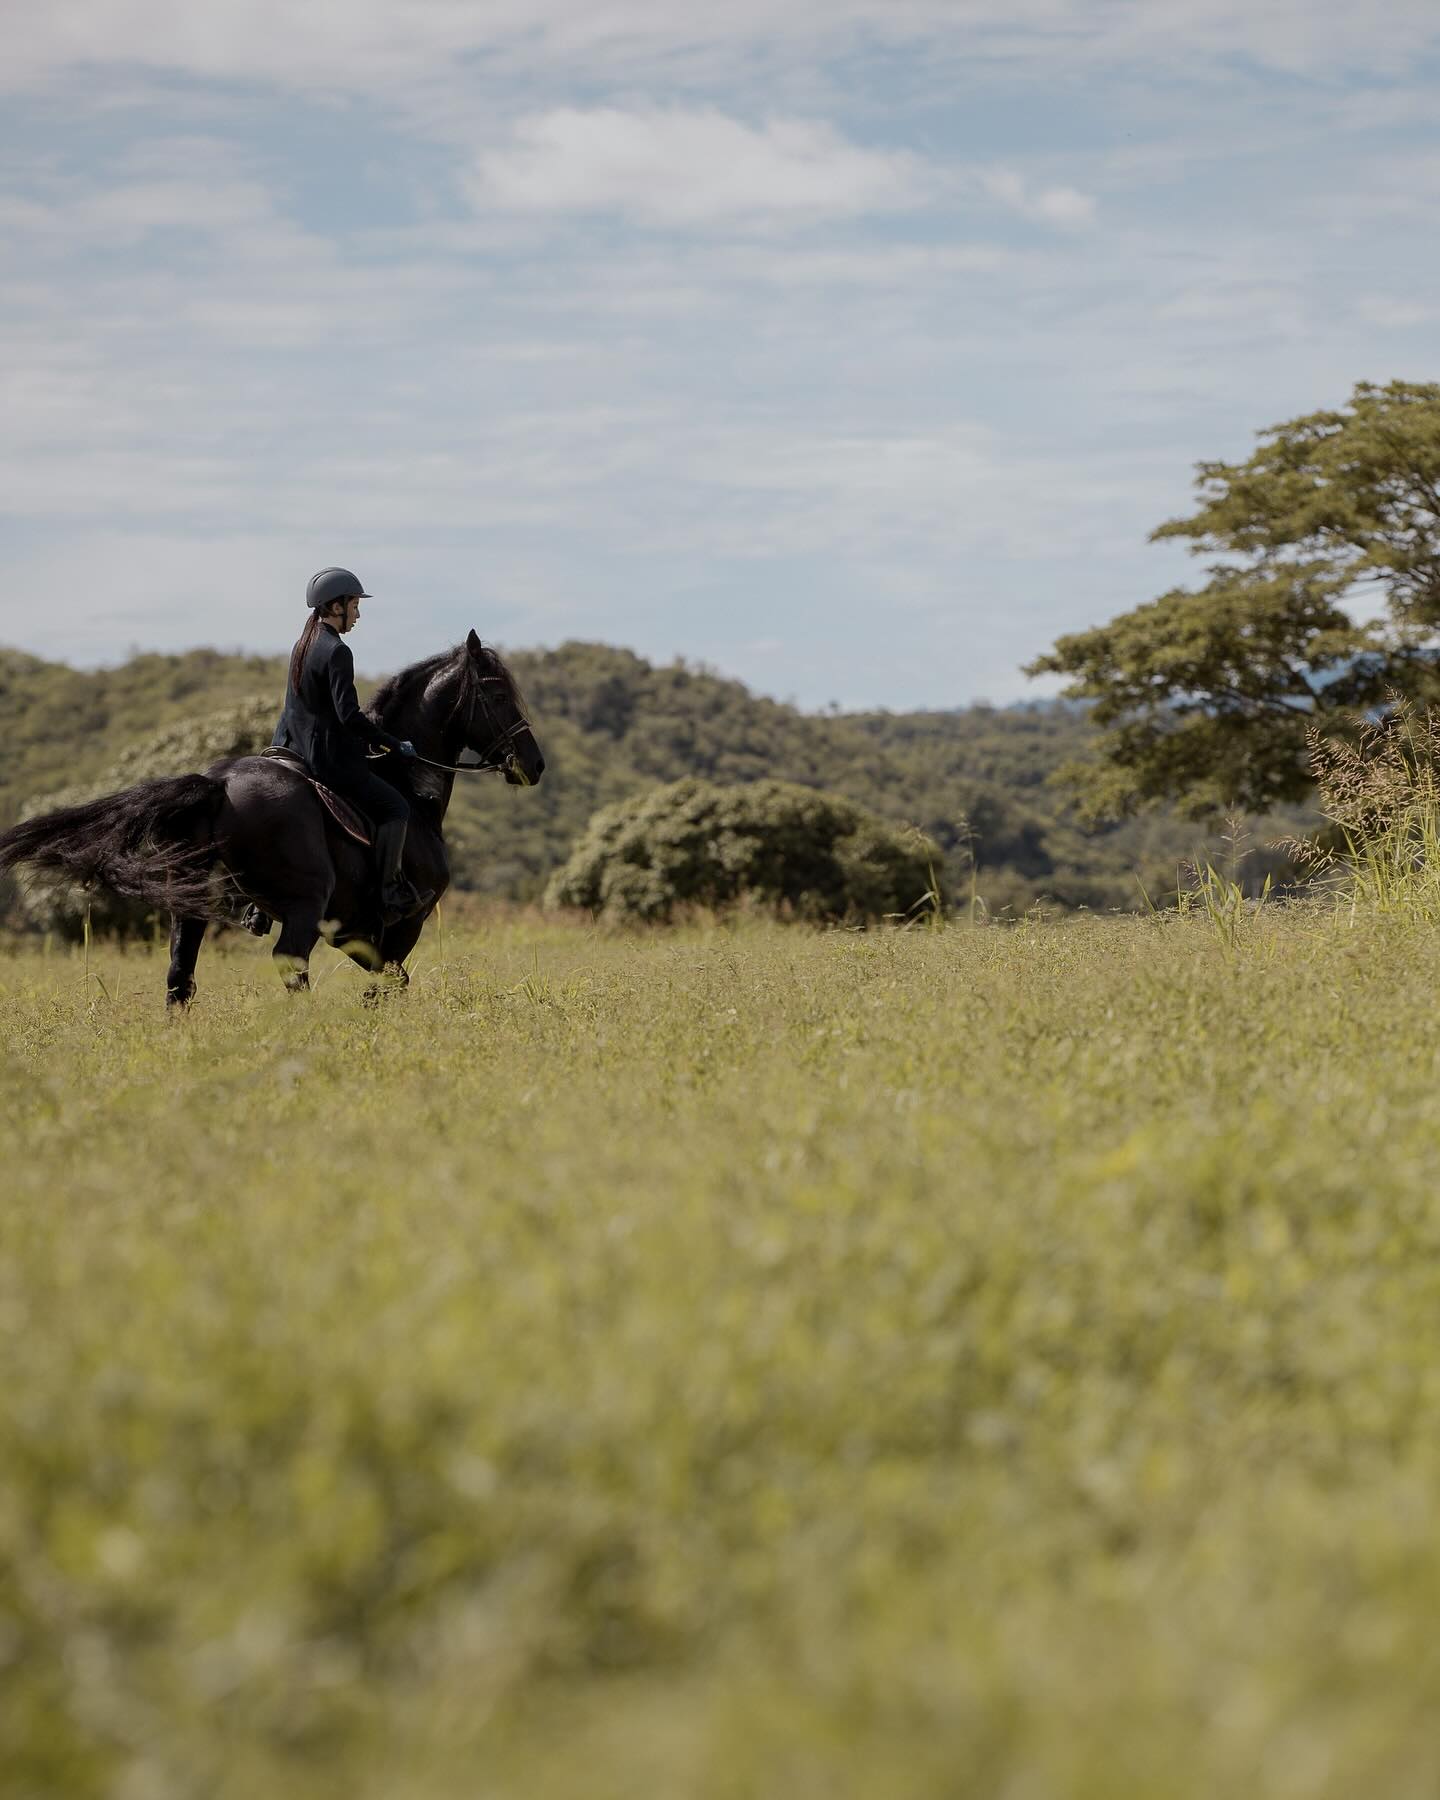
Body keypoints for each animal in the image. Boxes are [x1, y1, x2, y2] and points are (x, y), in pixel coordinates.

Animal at [1, 630, 540, 1000]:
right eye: (497, 695)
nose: (534, 765)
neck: (407, 780)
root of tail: (218, 784)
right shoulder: (406, 921)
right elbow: (392, 984)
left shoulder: (350, 930)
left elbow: (389, 982)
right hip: (304, 904)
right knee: (289, 965)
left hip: (192, 902)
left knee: (181, 973)